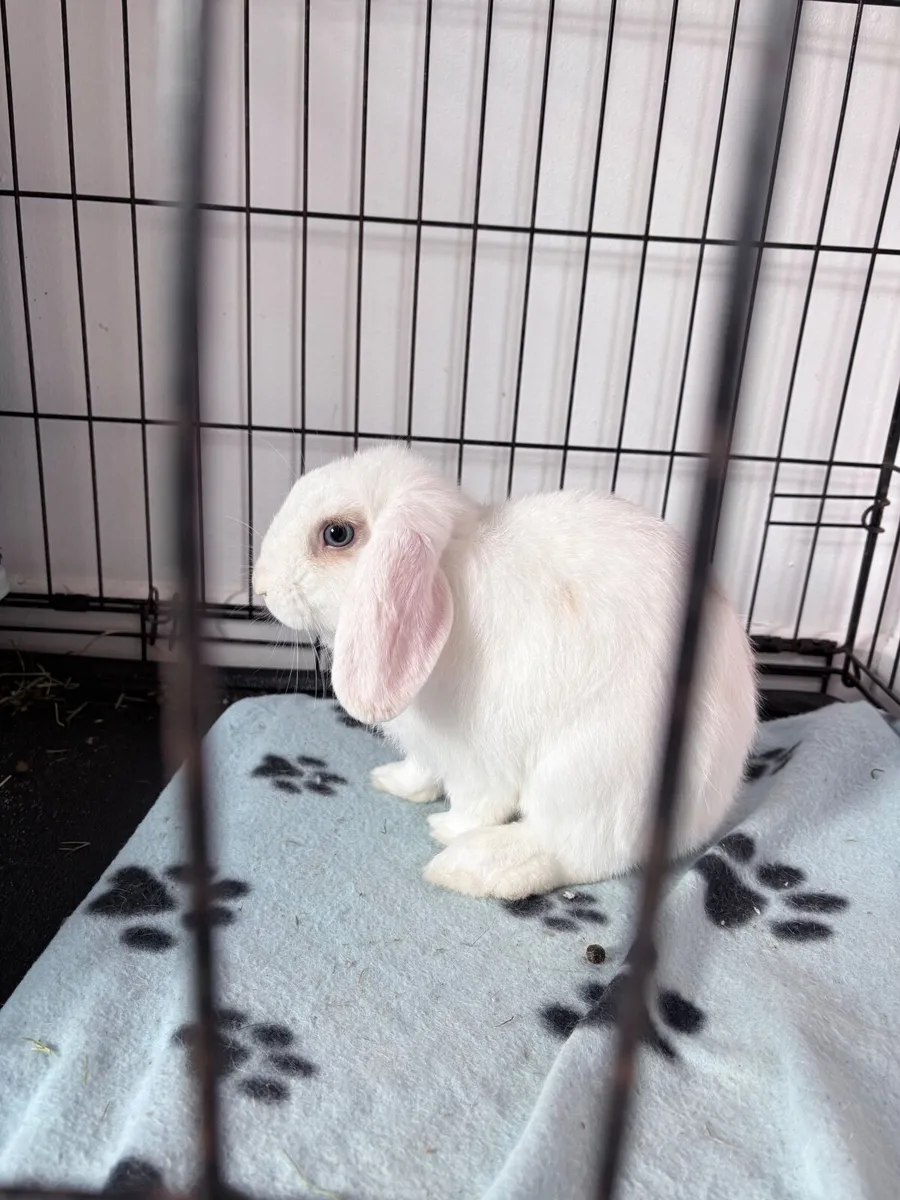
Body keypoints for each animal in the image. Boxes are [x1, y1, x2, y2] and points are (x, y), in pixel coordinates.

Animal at [253, 444, 757, 900]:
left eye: (337, 534)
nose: (260, 587)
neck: (448, 571)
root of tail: (704, 813)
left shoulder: (478, 760)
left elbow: (477, 804)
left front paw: (446, 826)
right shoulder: (429, 747)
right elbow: (421, 770)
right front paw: (393, 781)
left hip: (590, 773)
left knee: (573, 851)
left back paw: (469, 866)